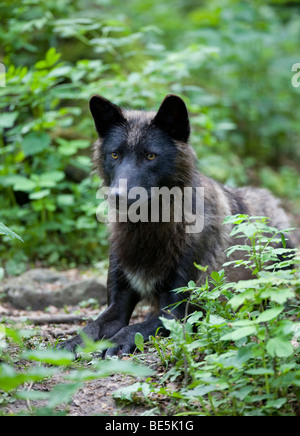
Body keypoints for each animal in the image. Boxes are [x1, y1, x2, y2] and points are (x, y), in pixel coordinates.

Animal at [59, 93, 294, 356]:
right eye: (115, 155)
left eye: (150, 156)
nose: (116, 196)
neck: (148, 230)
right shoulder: (117, 303)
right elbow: (91, 327)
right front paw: (70, 343)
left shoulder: (176, 310)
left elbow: (133, 328)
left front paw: (117, 342)